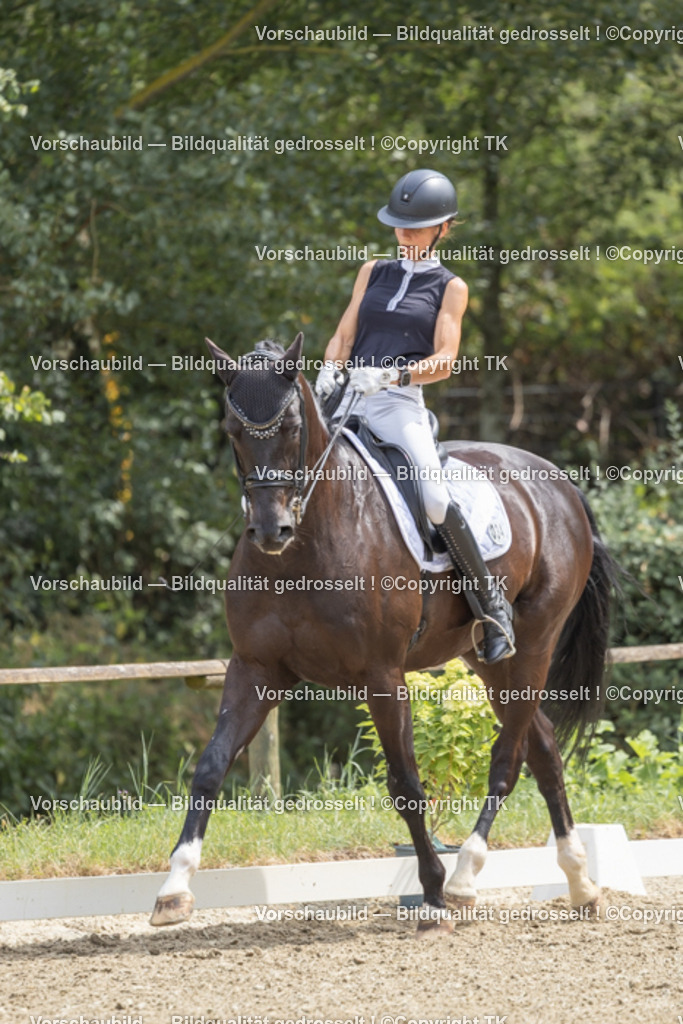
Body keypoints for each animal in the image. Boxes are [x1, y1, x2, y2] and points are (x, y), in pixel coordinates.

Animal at [150, 333, 620, 934]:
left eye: (292, 428)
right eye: (232, 430)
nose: (270, 531)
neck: (307, 542)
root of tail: (559, 483)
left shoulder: (382, 675)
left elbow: (406, 784)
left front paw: (434, 892)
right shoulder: (256, 669)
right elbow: (210, 766)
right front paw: (174, 888)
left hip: (535, 642)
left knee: (509, 757)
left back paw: (465, 878)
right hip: (489, 659)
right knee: (542, 747)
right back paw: (580, 882)